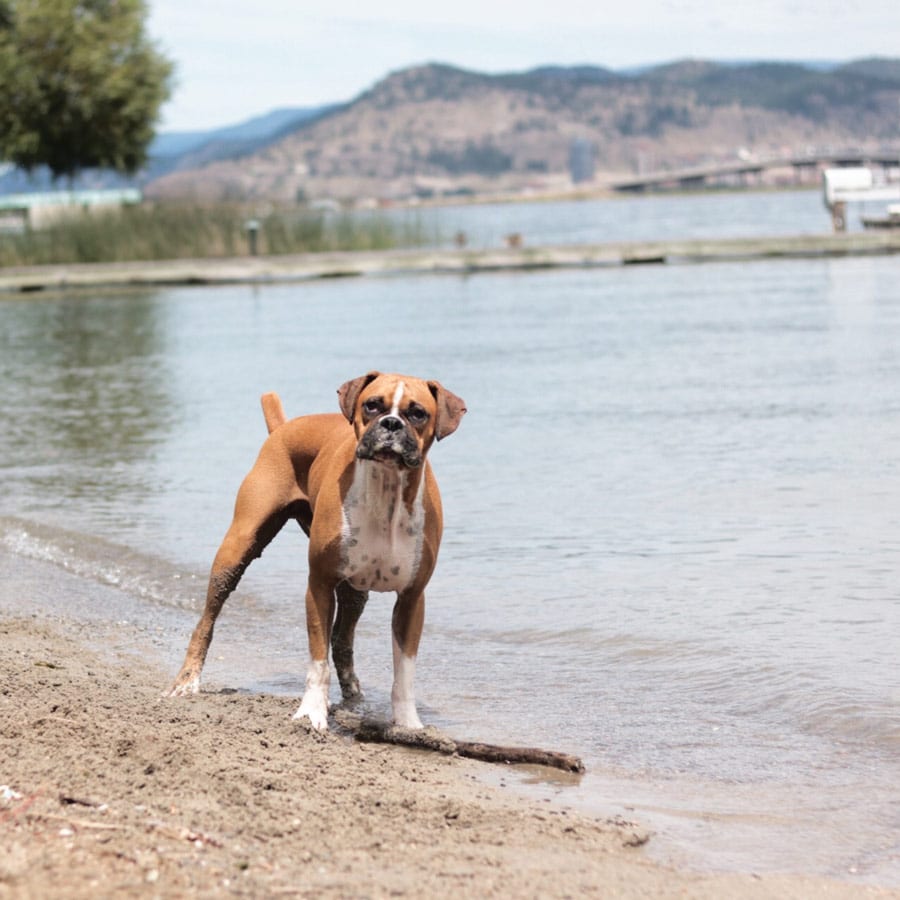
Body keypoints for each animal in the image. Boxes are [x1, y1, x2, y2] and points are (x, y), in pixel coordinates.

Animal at [169, 372, 468, 732]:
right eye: (372, 405)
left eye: (418, 413)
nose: (391, 423)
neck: (385, 491)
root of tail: (284, 427)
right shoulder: (319, 586)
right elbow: (317, 658)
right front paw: (312, 712)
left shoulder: (411, 599)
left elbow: (404, 670)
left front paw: (408, 723)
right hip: (236, 550)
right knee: (207, 620)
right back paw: (187, 681)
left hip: (355, 590)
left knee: (342, 640)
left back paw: (353, 692)